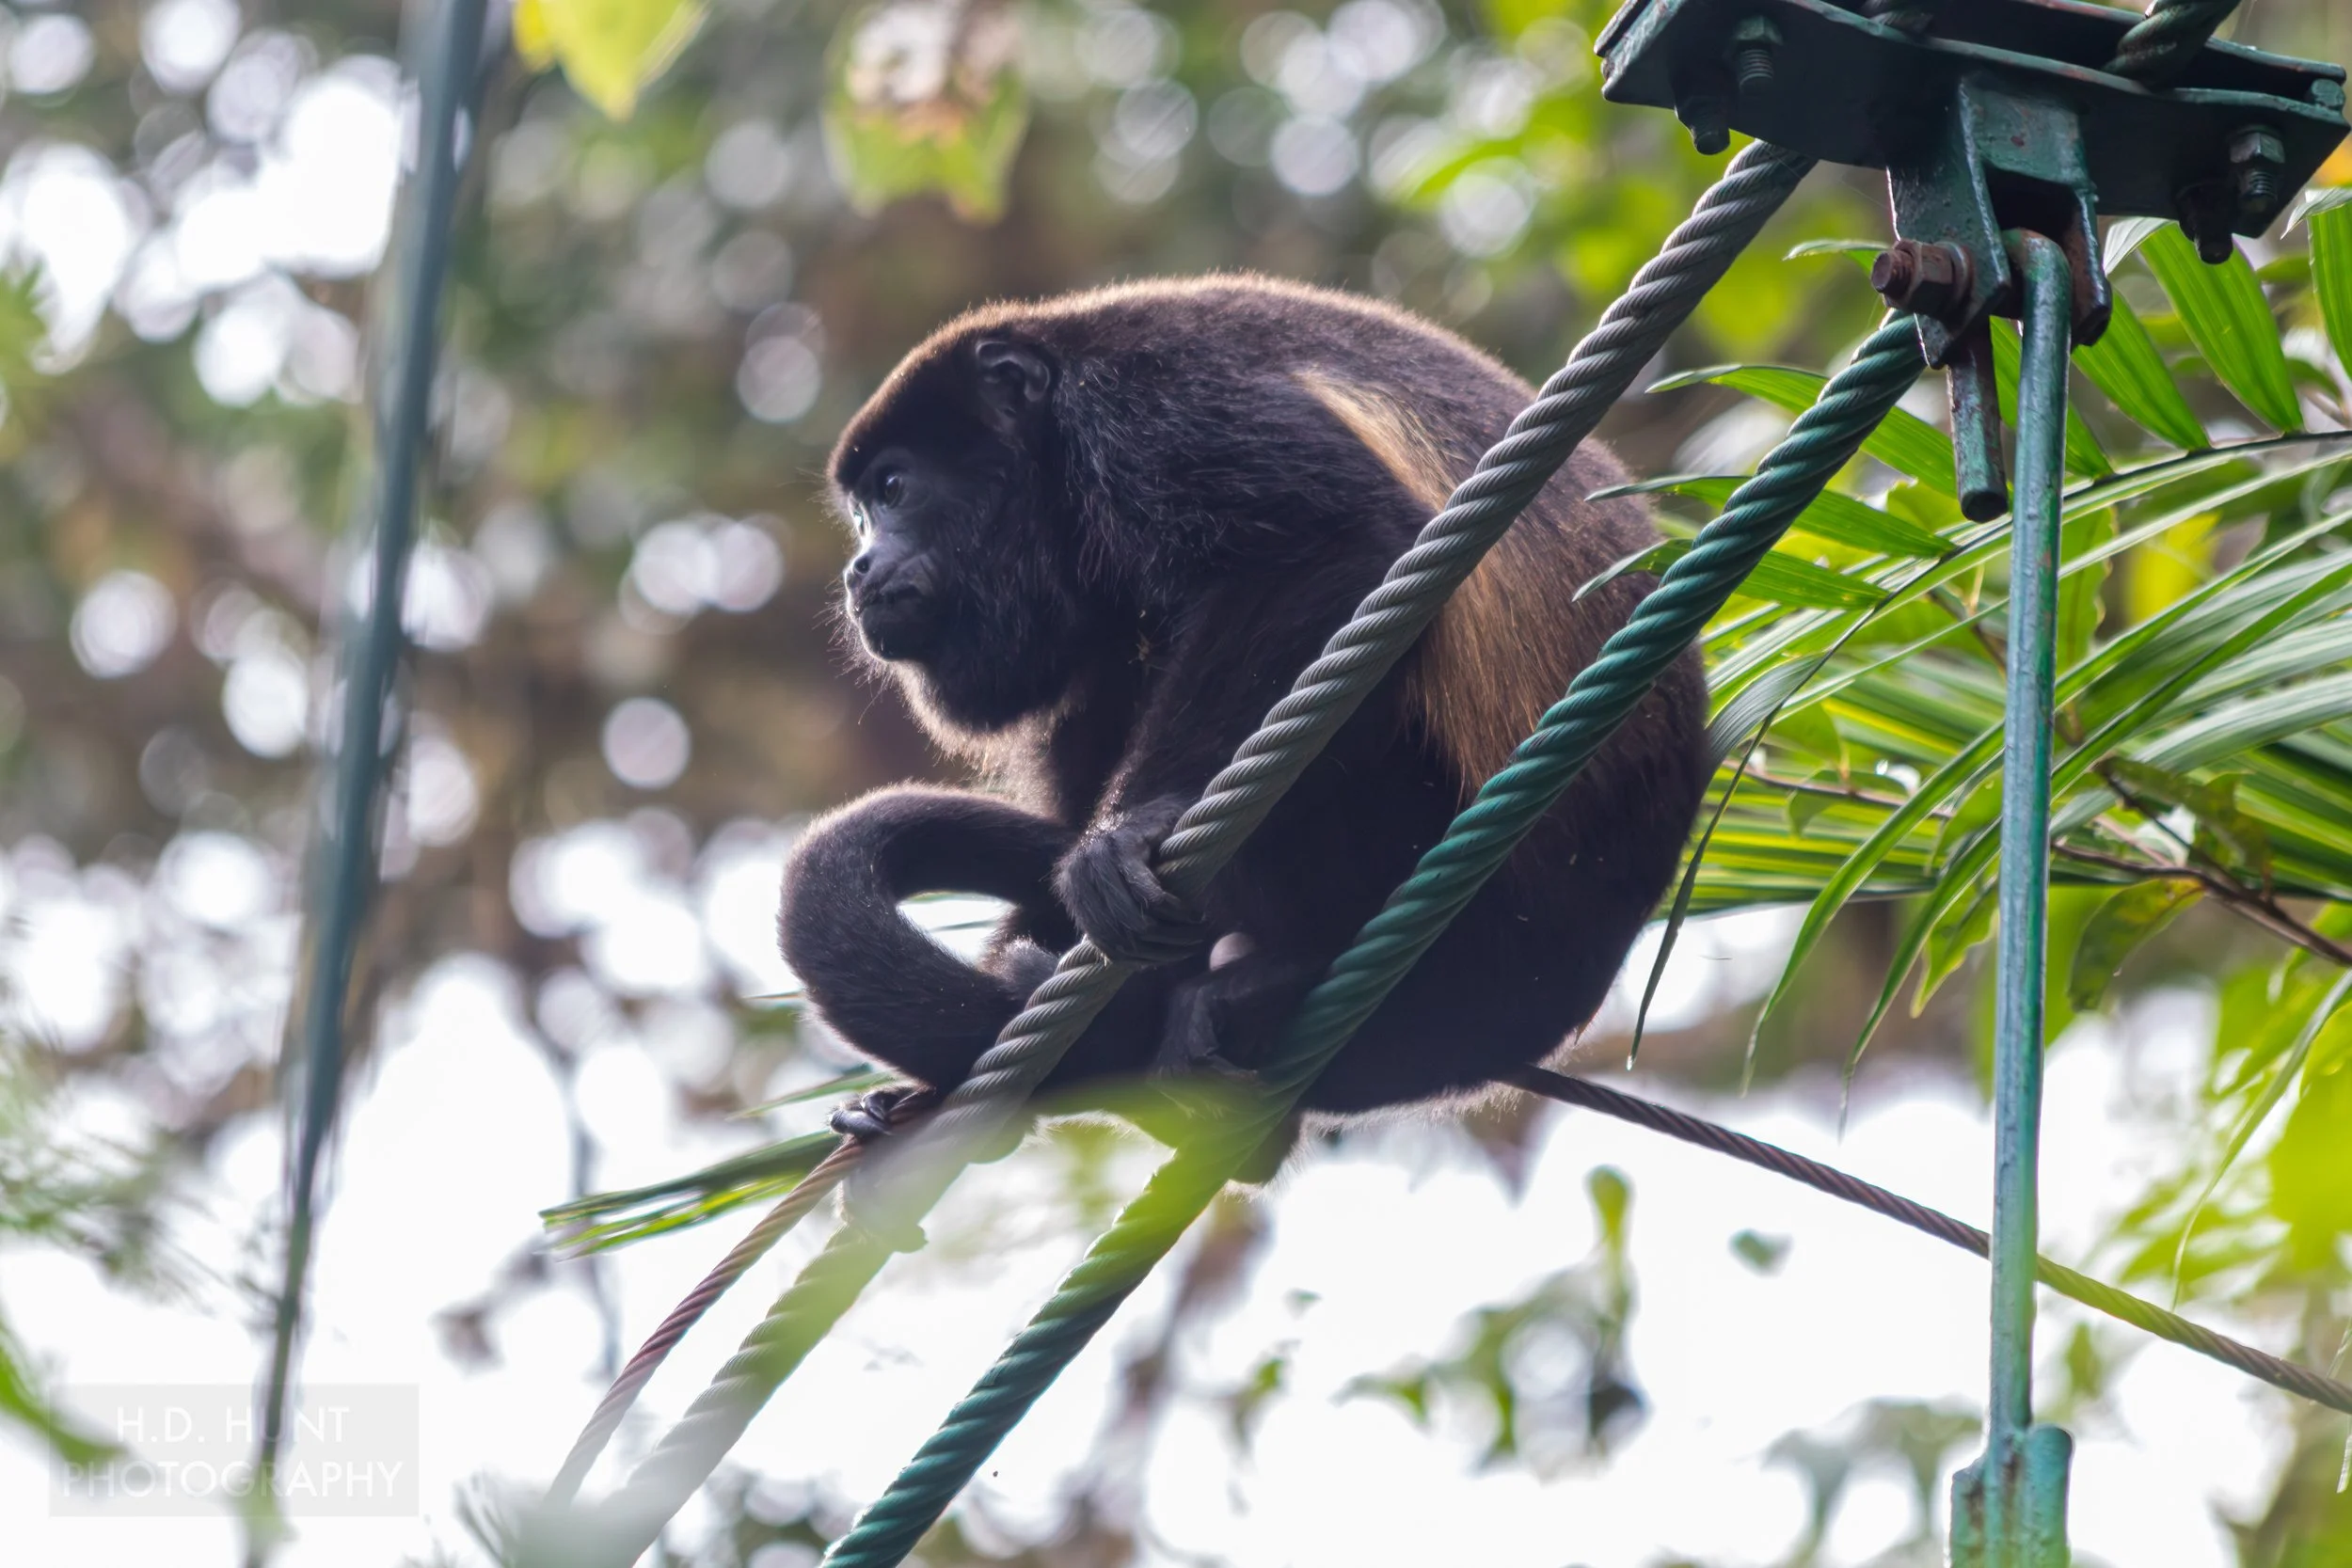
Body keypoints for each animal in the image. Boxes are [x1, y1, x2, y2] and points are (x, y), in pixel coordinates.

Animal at [778, 275, 1709, 1142]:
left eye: (894, 487)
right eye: (861, 509)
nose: (858, 568)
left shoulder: (1151, 405)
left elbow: (1327, 542)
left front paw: (1129, 835)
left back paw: (1263, 977)